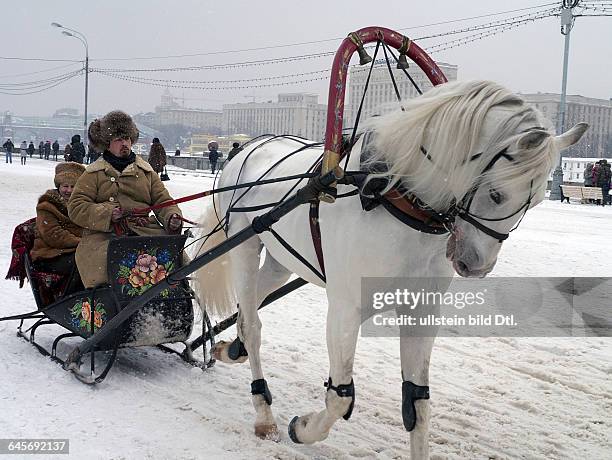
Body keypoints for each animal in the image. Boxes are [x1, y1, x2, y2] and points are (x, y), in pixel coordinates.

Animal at [196, 80, 588, 456]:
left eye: (534, 202)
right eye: (496, 194)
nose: (477, 265)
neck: (394, 197)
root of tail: (248, 148)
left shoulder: (421, 313)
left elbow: (417, 403)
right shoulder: (345, 309)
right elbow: (340, 398)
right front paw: (303, 428)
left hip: (282, 261)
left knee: (247, 310)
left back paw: (228, 348)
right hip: (246, 246)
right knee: (253, 324)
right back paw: (263, 412)